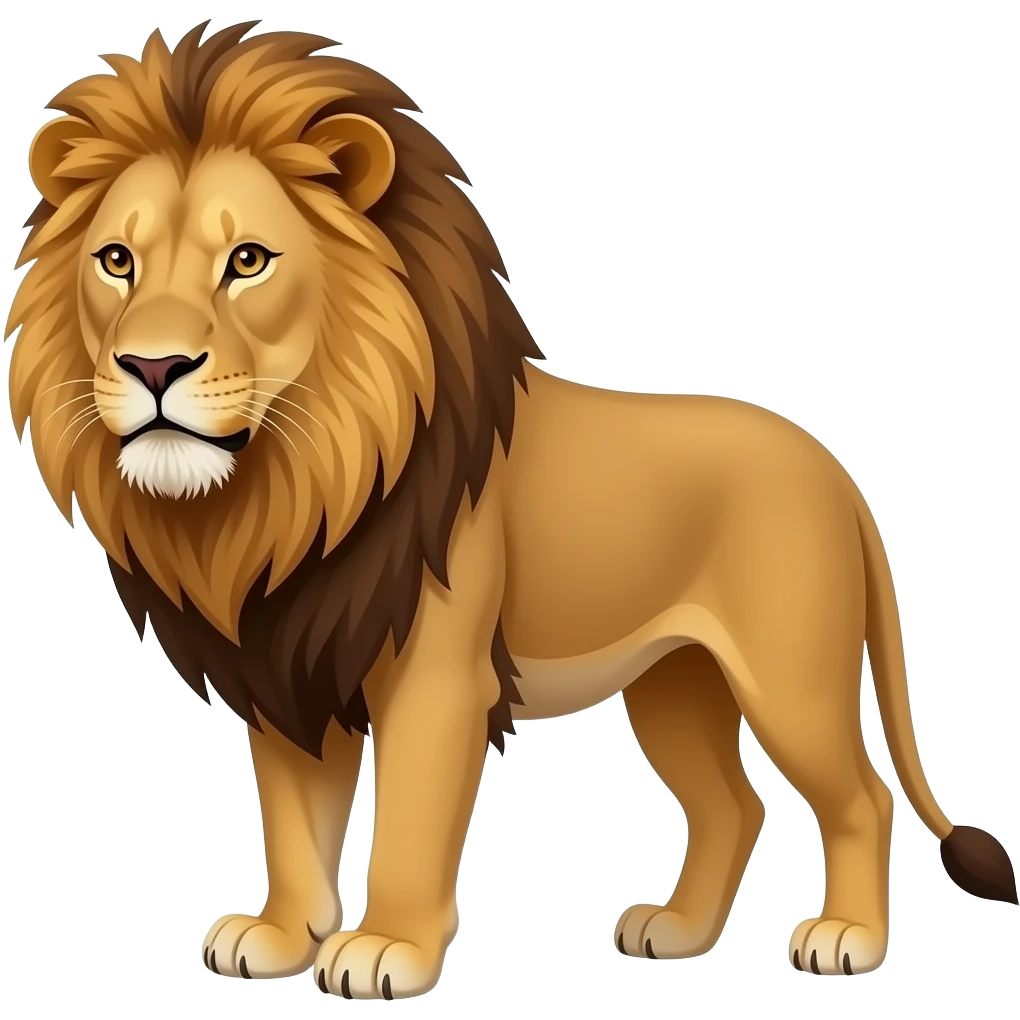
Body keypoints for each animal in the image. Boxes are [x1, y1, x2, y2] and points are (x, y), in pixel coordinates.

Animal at [6, 20, 1016, 999]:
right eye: (116, 261)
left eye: (247, 261)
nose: (153, 366)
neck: (293, 487)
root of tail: (837, 472)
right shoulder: (291, 661)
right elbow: (294, 821)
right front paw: (281, 935)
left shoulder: (436, 678)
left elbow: (411, 825)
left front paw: (386, 949)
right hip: (675, 681)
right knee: (734, 804)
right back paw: (677, 932)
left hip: (789, 678)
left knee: (860, 796)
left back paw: (848, 939)